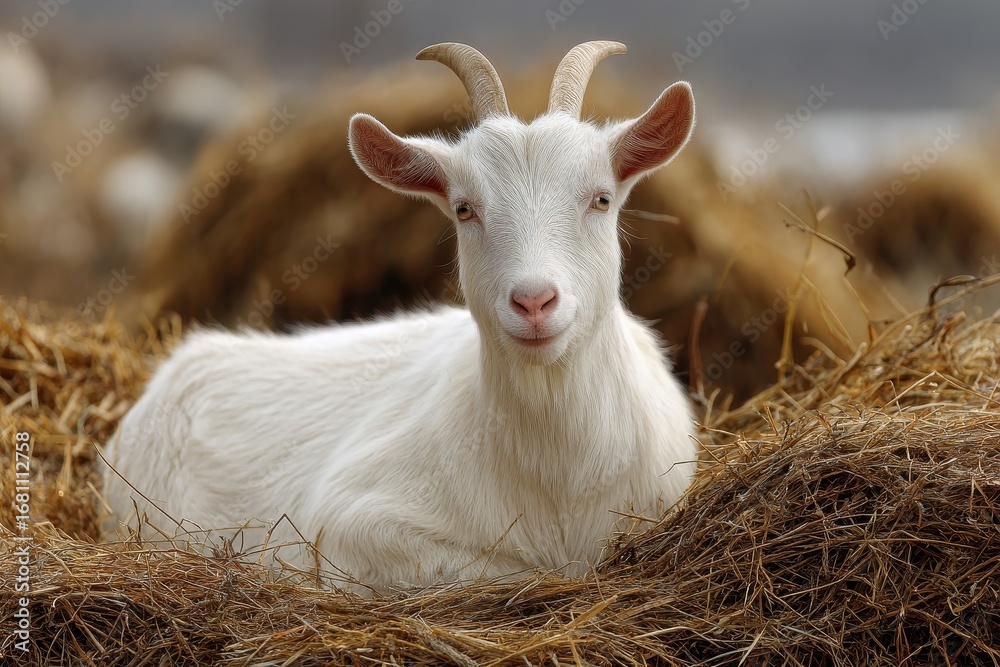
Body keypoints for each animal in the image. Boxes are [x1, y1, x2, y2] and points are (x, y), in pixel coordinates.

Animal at [101, 41, 699, 592]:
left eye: (601, 198)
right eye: (464, 208)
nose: (533, 302)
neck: (560, 479)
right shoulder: (349, 520)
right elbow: (505, 569)